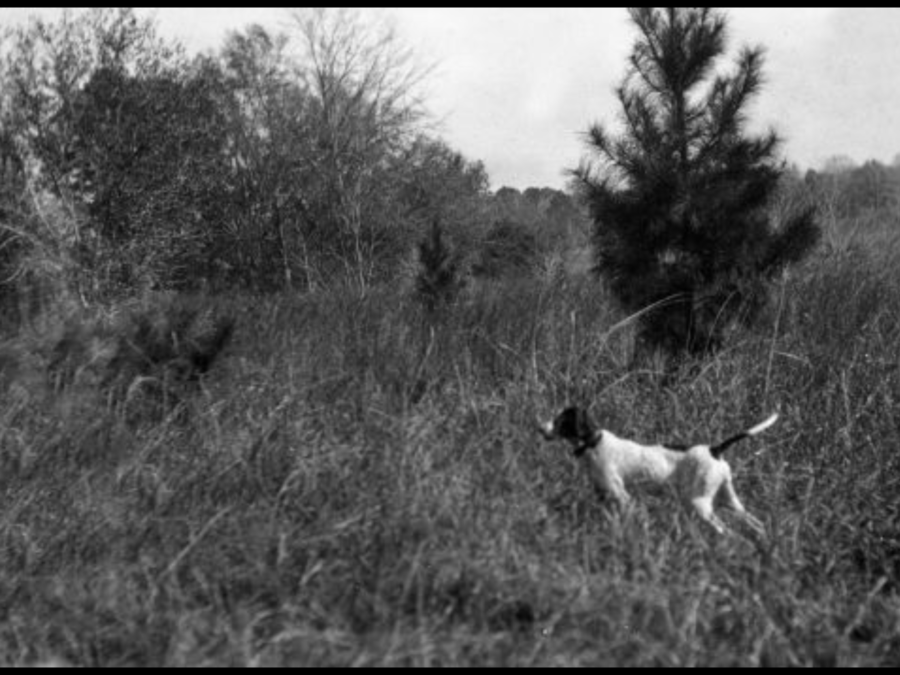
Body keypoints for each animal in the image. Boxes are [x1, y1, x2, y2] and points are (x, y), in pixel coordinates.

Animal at [536, 410, 776, 536]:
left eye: (560, 420)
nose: (539, 428)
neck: (593, 443)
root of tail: (714, 449)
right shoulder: (604, 495)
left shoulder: (622, 496)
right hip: (728, 500)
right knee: (755, 522)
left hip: (699, 503)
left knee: (724, 530)